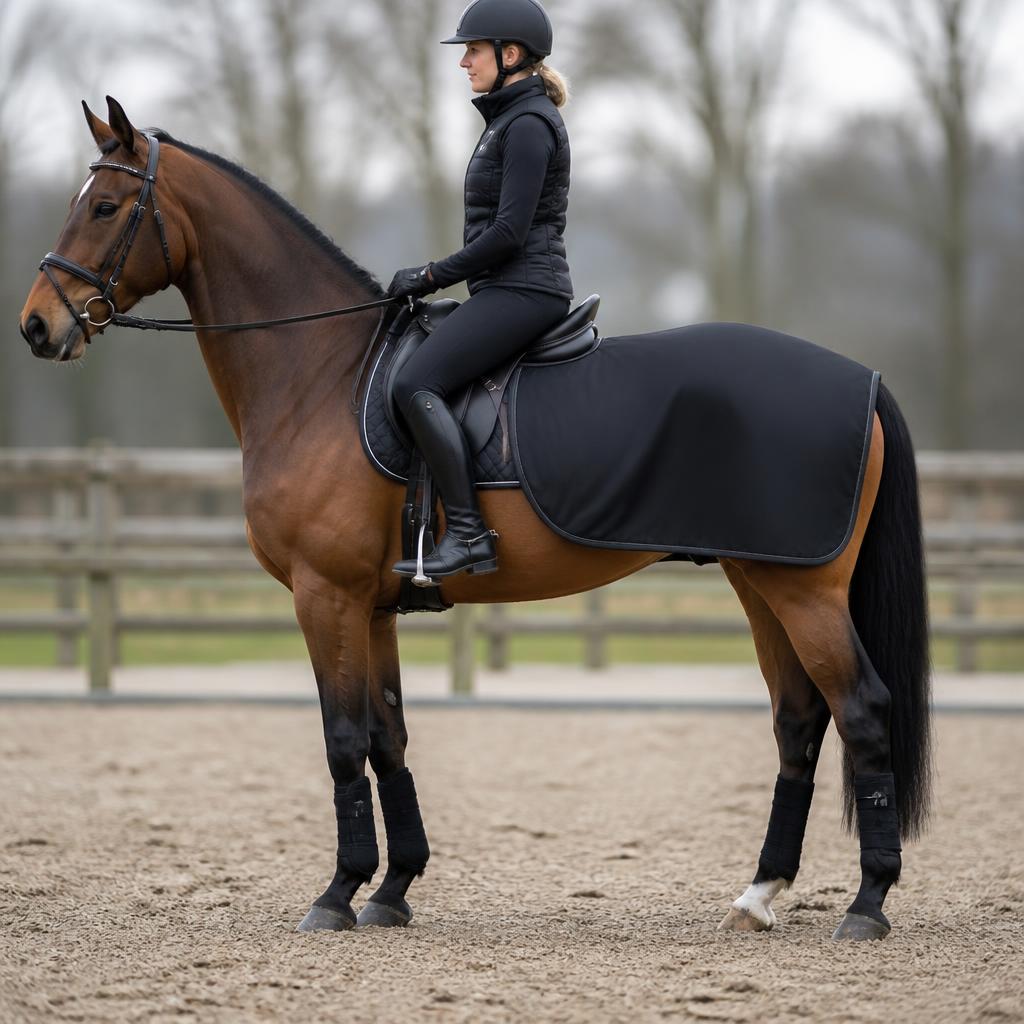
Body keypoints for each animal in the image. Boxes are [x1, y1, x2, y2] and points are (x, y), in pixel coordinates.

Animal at [19, 97, 931, 941]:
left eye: (105, 207)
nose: (37, 324)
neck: (322, 375)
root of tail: (866, 379)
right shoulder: (370, 605)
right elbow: (387, 736)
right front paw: (391, 890)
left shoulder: (325, 594)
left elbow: (343, 740)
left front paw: (337, 894)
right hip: (761, 581)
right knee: (799, 721)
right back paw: (761, 893)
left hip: (805, 590)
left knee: (862, 712)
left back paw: (869, 903)